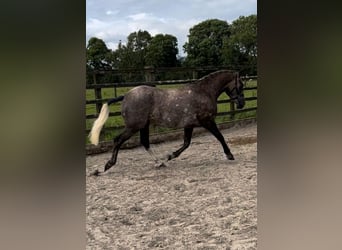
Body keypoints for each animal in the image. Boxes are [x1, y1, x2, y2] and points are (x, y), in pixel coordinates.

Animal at [88, 70, 246, 176]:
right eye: (241, 85)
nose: (242, 104)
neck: (204, 93)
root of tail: (125, 96)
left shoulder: (189, 125)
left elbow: (186, 144)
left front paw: (169, 156)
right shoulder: (207, 121)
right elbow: (220, 137)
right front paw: (229, 155)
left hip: (143, 126)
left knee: (144, 142)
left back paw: (160, 162)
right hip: (133, 126)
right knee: (118, 140)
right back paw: (106, 166)